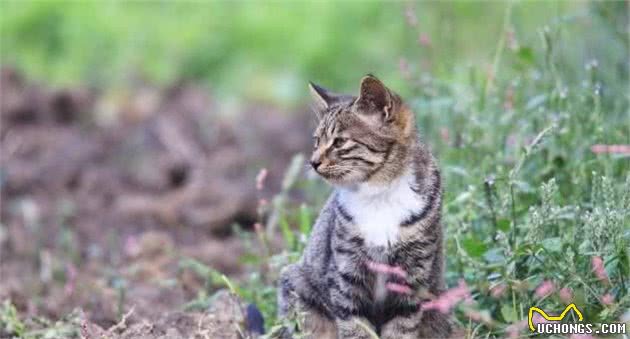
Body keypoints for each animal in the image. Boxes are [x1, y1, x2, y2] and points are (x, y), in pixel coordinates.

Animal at [278, 75, 452, 338]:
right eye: (317, 141)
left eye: (339, 142)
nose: (313, 162)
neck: (379, 194)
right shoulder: (346, 276)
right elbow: (355, 327)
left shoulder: (412, 277)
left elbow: (401, 329)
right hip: (295, 284)